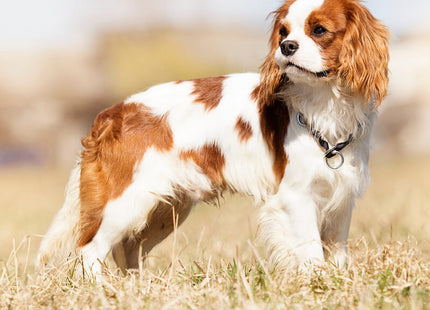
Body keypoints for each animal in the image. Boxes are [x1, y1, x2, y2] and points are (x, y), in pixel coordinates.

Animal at [37, 0, 390, 276]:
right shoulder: (296, 197)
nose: (287, 47)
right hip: (125, 203)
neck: (326, 102)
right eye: (284, 32)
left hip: (164, 211)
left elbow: (338, 251)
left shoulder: (341, 197)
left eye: (319, 30)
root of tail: (112, 114)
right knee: (90, 249)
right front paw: (316, 283)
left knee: (125, 250)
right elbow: (311, 250)